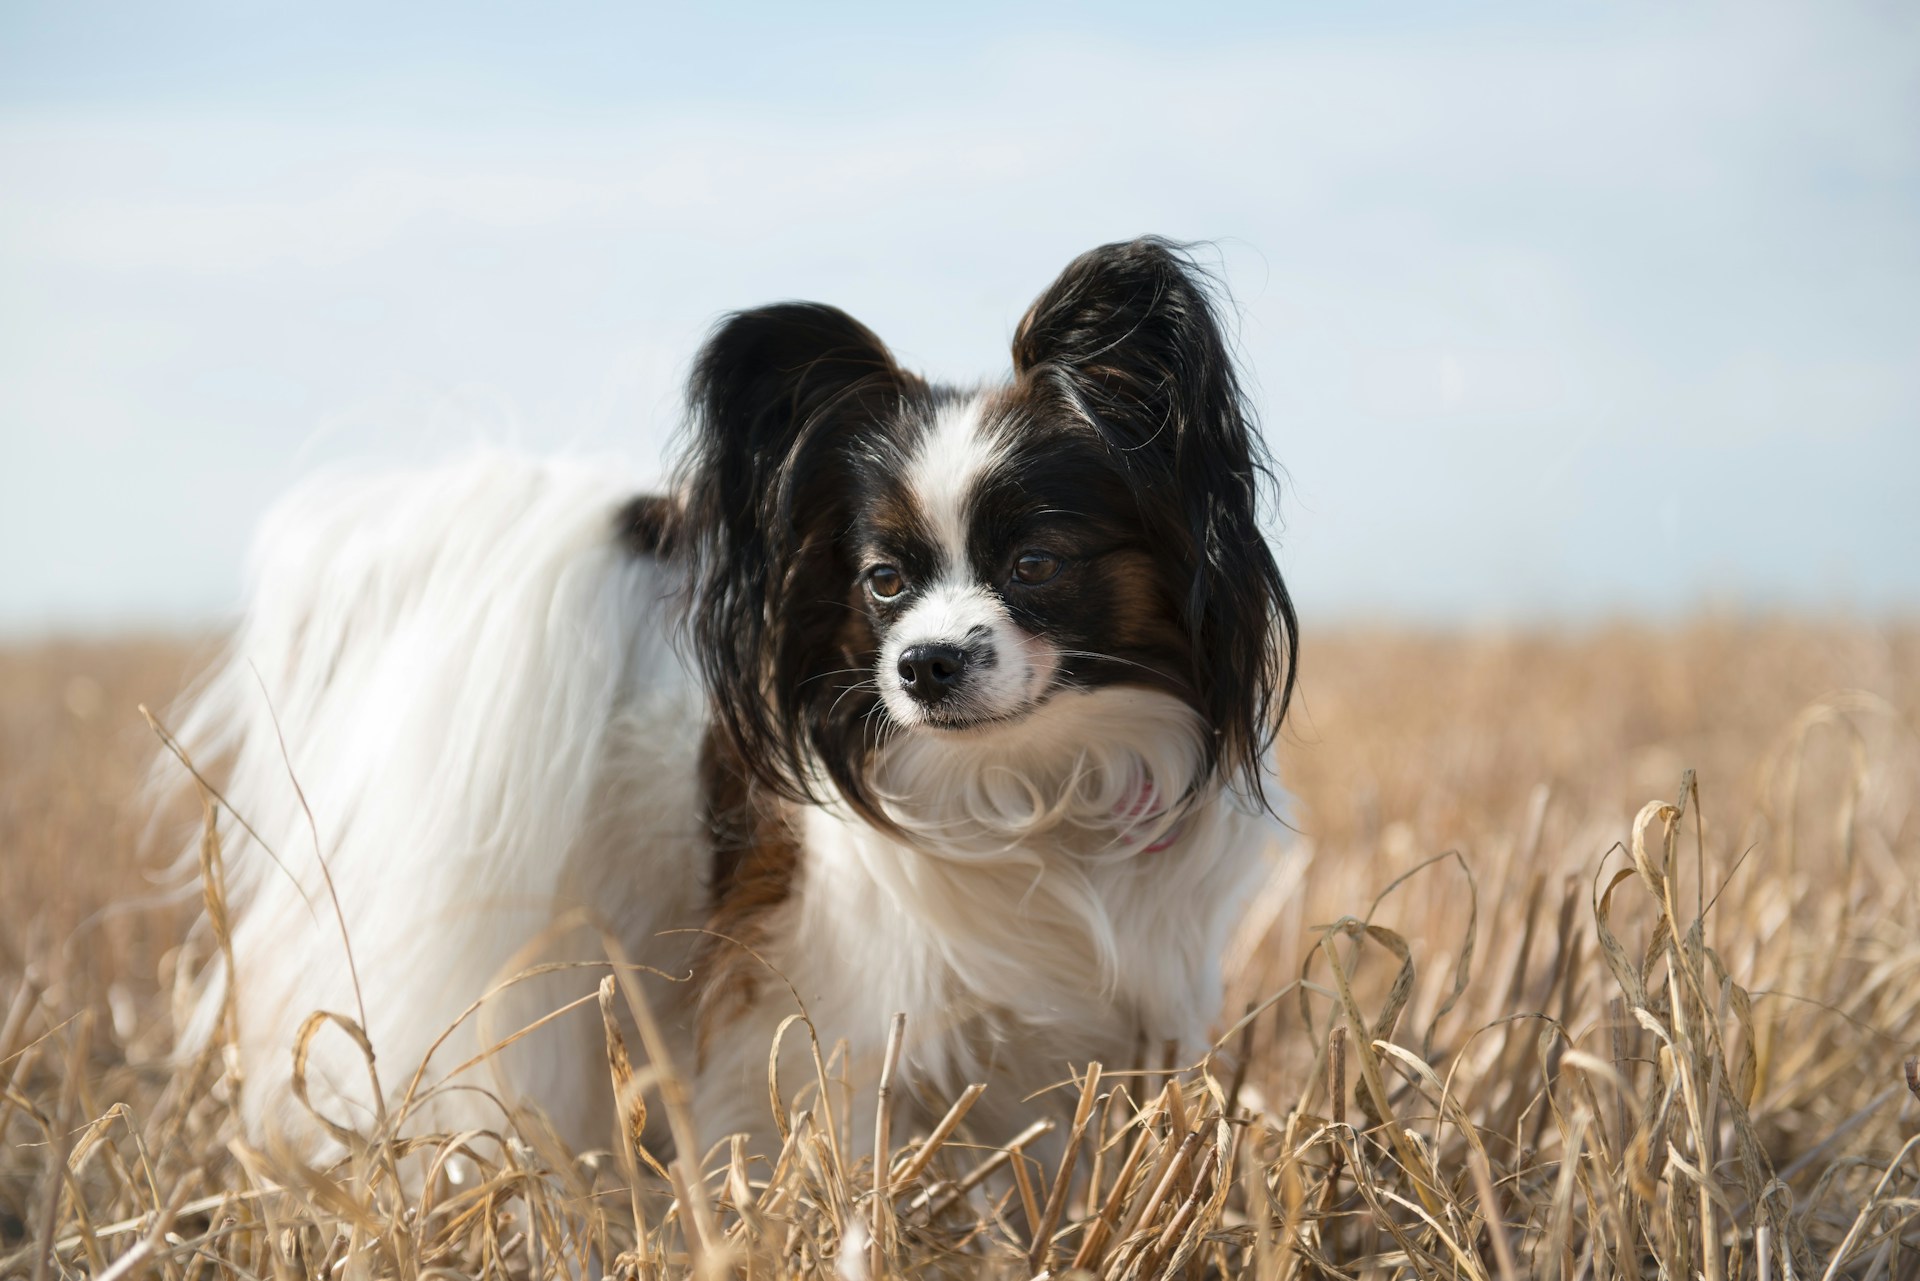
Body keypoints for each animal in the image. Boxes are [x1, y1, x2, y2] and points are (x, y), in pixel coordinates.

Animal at [165, 235, 1297, 1167]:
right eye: (884, 581)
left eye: (1036, 564)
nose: (923, 664)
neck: (1030, 782)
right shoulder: (825, 1022)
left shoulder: (1105, 1030)